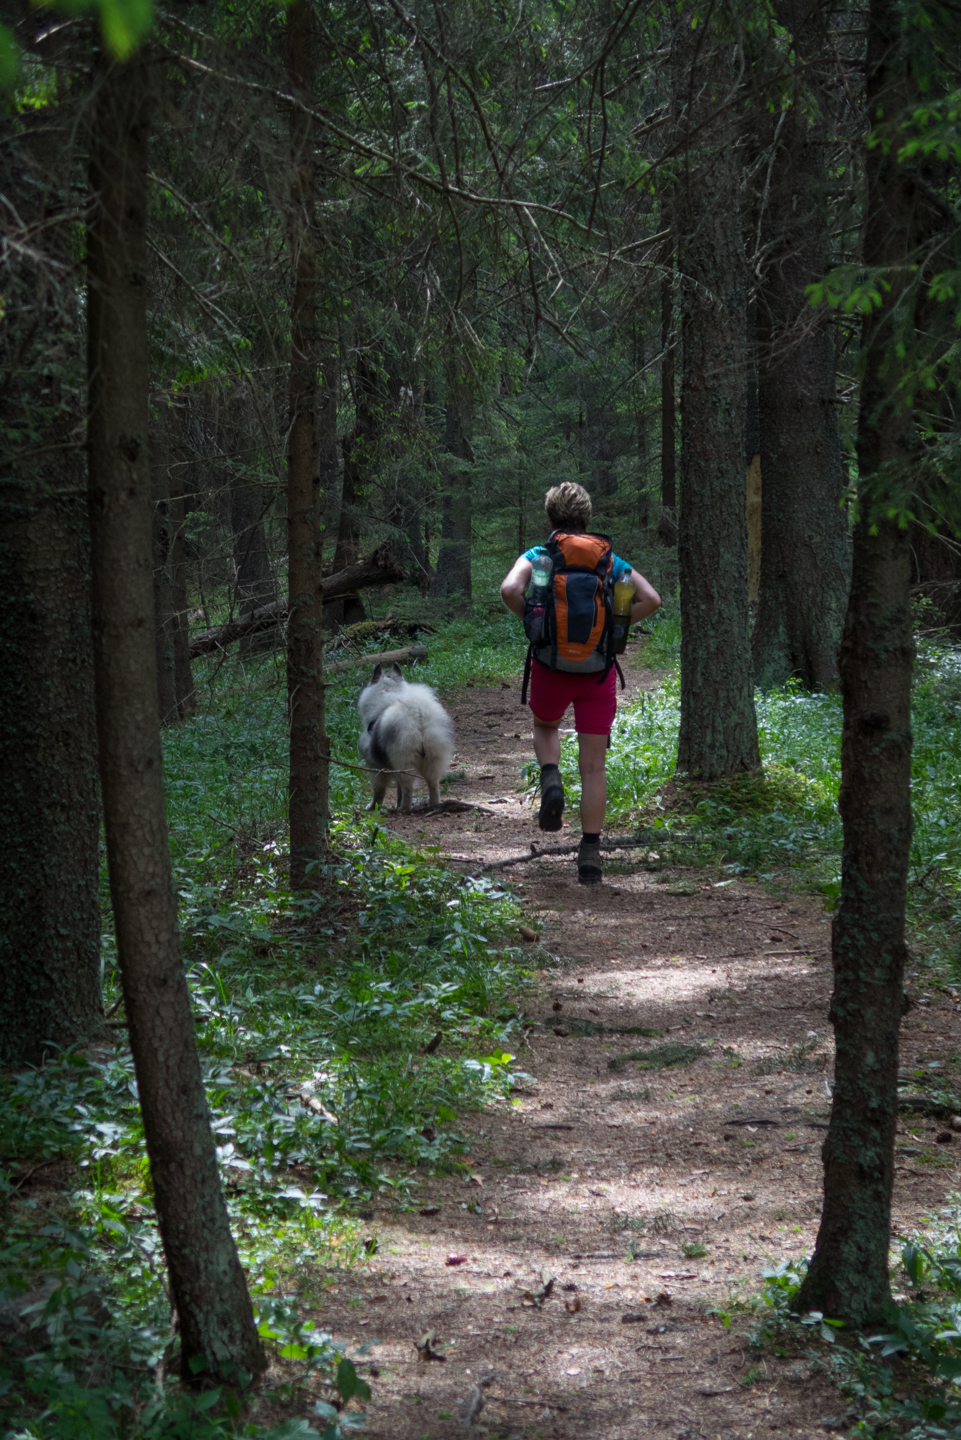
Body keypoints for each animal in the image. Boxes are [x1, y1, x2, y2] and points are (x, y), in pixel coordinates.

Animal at [357, 662, 455, 812]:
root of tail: (419, 718)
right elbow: (399, 790)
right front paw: (396, 802)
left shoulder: (376, 767)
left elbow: (379, 791)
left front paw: (373, 807)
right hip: (433, 759)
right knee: (433, 785)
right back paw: (434, 805)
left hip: (404, 761)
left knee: (408, 788)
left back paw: (403, 809)